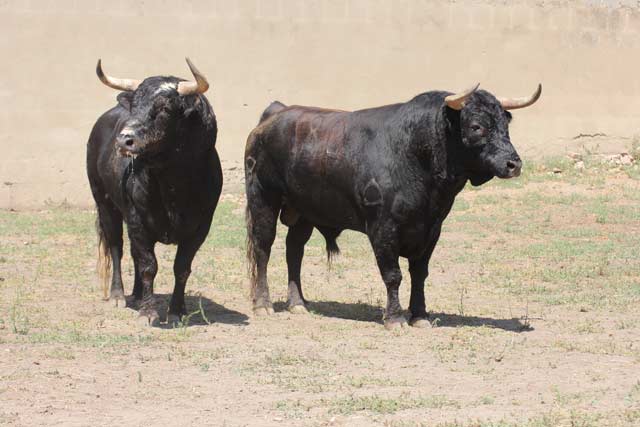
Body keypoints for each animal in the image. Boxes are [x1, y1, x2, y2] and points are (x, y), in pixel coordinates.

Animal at [245, 84, 540, 332]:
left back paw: (298, 304)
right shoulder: (383, 228)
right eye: (476, 126)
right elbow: (393, 275)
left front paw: (420, 315)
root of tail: (275, 112)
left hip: (304, 212)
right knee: (263, 248)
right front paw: (396, 318)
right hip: (263, 200)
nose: (513, 164)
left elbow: (419, 274)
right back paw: (263, 305)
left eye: (505, 124)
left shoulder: (432, 229)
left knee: (294, 251)